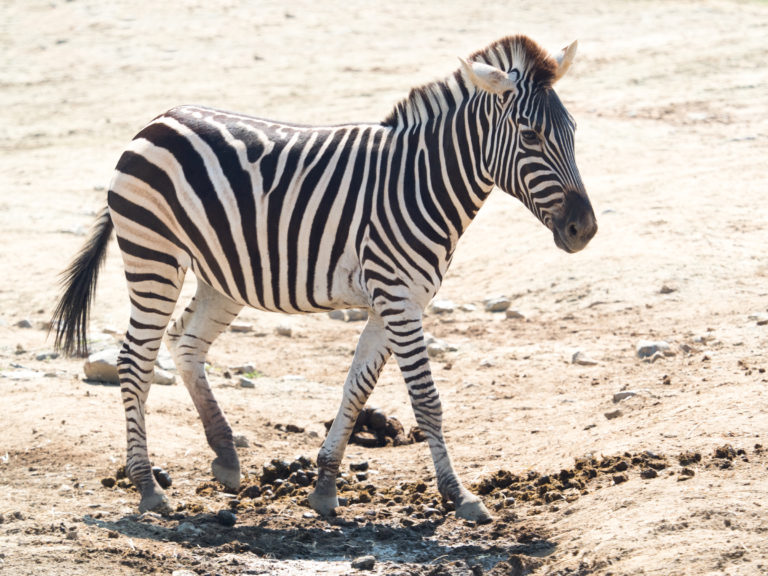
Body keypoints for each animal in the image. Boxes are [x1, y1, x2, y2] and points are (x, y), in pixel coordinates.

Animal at [51, 35, 596, 523]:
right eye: (530, 135)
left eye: (572, 130)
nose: (585, 229)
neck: (421, 181)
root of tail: (156, 120)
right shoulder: (398, 299)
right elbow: (427, 401)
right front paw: (459, 496)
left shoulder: (395, 302)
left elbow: (355, 390)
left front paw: (325, 488)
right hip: (154, 255)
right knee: (135, 360)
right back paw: (148, 487)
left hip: (221, 275)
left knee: (185, 342)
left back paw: (225, 457)